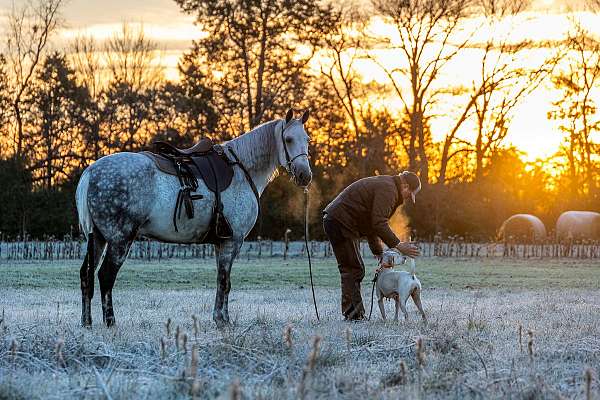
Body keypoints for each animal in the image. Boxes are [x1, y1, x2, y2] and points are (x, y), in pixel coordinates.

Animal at [77, 110, 312, 328]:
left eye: (307, 139)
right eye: (288, 139)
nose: (305, 175)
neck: (242, 170)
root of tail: (91, 172)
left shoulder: (221, 243)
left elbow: (221, 281)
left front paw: (220, 318)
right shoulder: (232, 241)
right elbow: (225, 281)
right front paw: (223, 321)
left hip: (98, 238)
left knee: (86, 276)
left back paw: (87, 322)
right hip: (120, 239)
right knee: (106, 276)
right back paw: (110, 323)